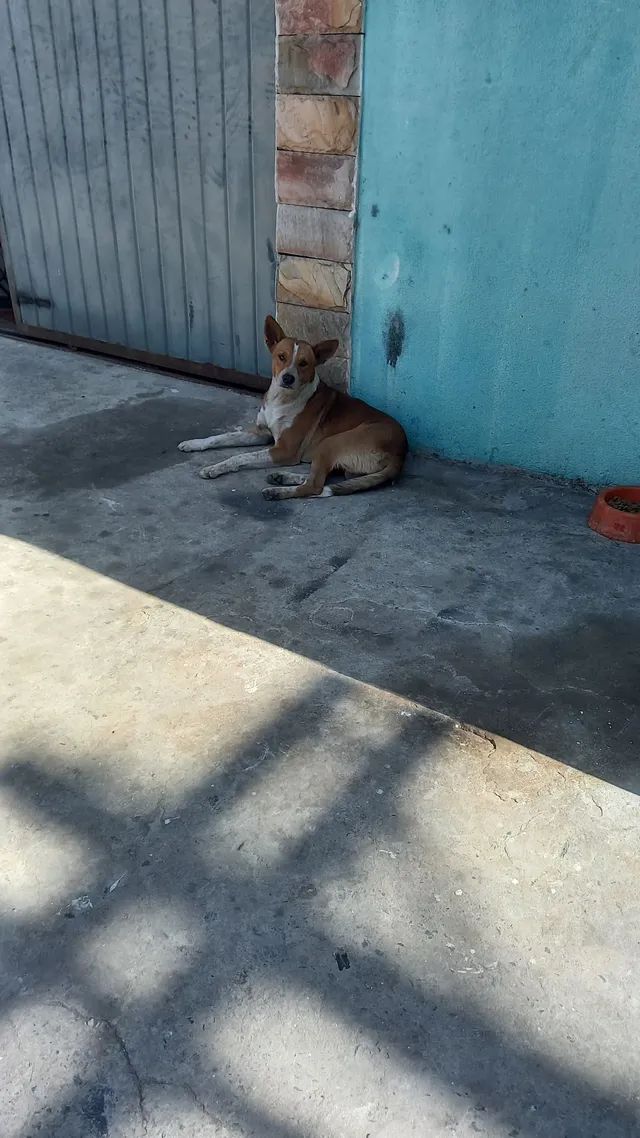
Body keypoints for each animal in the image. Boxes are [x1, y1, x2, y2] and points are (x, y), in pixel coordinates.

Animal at [176, 318, 405, 500]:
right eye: (281, 356)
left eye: (304, 363)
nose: (288, 378)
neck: (281, 400)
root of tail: (400, 451)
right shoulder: (261, 433)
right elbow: (220, 437)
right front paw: (194, 443)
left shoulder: (284, 449)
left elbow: (241, 457)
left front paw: (214, 467)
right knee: (327, 478)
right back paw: (282, 477)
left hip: (330, 443)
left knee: (315, 486)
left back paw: (276, 492)